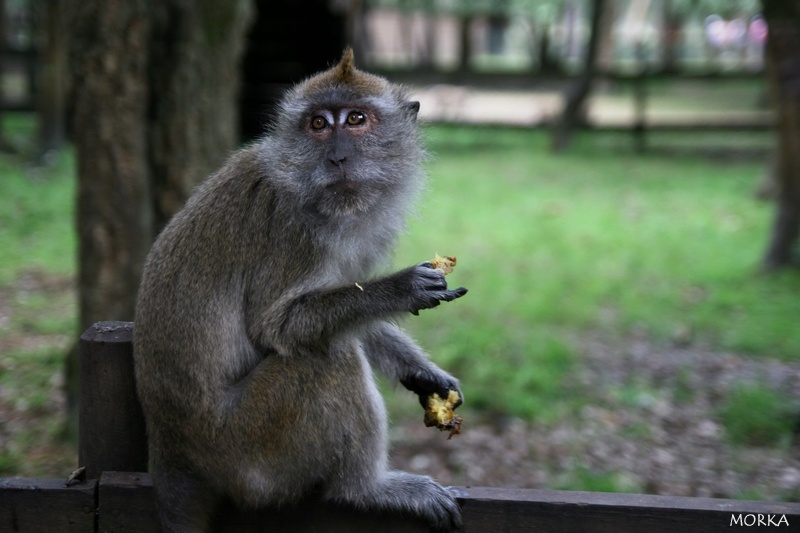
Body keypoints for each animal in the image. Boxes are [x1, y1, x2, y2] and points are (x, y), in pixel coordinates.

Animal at [133, 46, 468, 532]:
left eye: (355, 119)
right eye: (318, 124)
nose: (338, 158)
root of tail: (172, 454)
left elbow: (351, 317)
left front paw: (423, 374)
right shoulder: (292, 230)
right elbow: (279, 328)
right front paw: (400, 289)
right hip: (250, 446)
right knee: (329, 358)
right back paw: (365, 489)